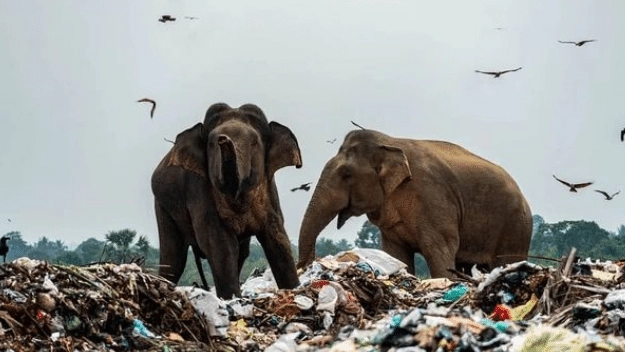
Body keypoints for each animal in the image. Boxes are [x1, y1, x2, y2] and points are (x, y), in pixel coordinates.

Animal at [152, 103, 302, 298]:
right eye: (211, 144)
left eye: (254, 143)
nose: (223, 139)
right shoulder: (200, 189)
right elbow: (220, 243)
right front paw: (231, 299)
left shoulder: (269, 190)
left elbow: (277, 238)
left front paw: (295, 290)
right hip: (163, 205)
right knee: (173, 259)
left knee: (242, 253)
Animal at [298, 129, 532, 278]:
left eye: (346, 175)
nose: (309, 267)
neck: (390, 142)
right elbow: (397, 255)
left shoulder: (433, 199)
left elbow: (439, 251)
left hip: (515, 228)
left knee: (504, 262)